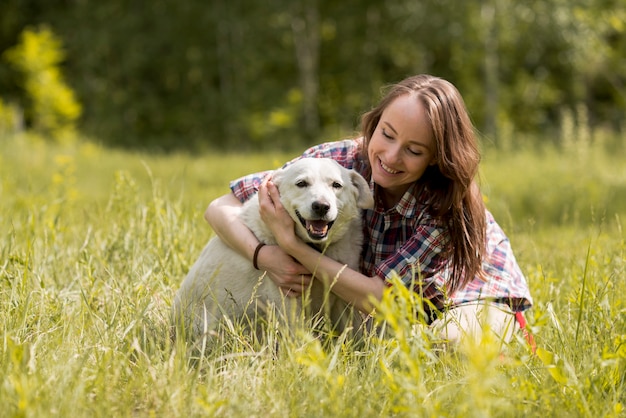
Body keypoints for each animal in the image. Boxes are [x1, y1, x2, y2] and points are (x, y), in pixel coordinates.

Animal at [172, 158, 370, 342]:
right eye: (301, 183)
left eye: (336, 185)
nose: (321, 206)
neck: (317, 249)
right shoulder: (288, 301)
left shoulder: (344, 302)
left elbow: (356, 334)